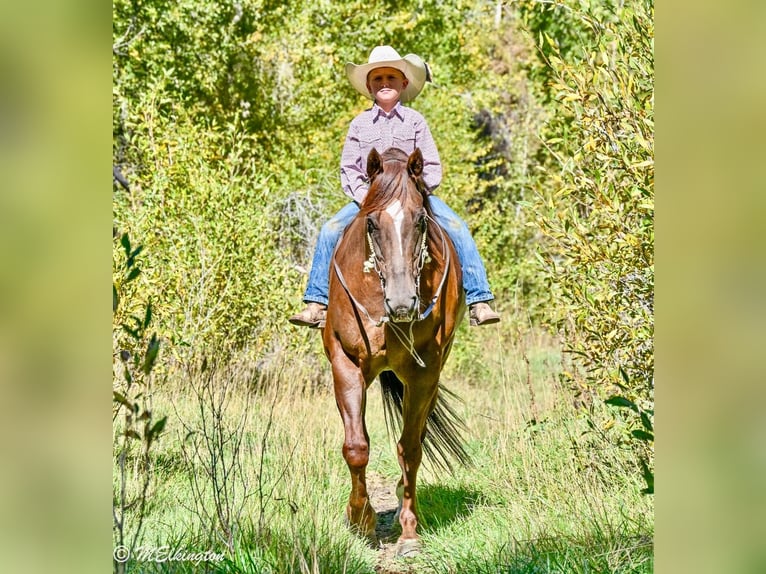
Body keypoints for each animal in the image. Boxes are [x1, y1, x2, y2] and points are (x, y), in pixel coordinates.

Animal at [322, 147, 470, 556]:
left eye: (420, 220)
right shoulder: (346, 364)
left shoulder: (423, 374)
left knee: (416, 438)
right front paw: (360, 520)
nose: (403, 303)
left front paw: (409, 533)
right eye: (372, 223)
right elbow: (356, 447)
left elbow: (410, 449)